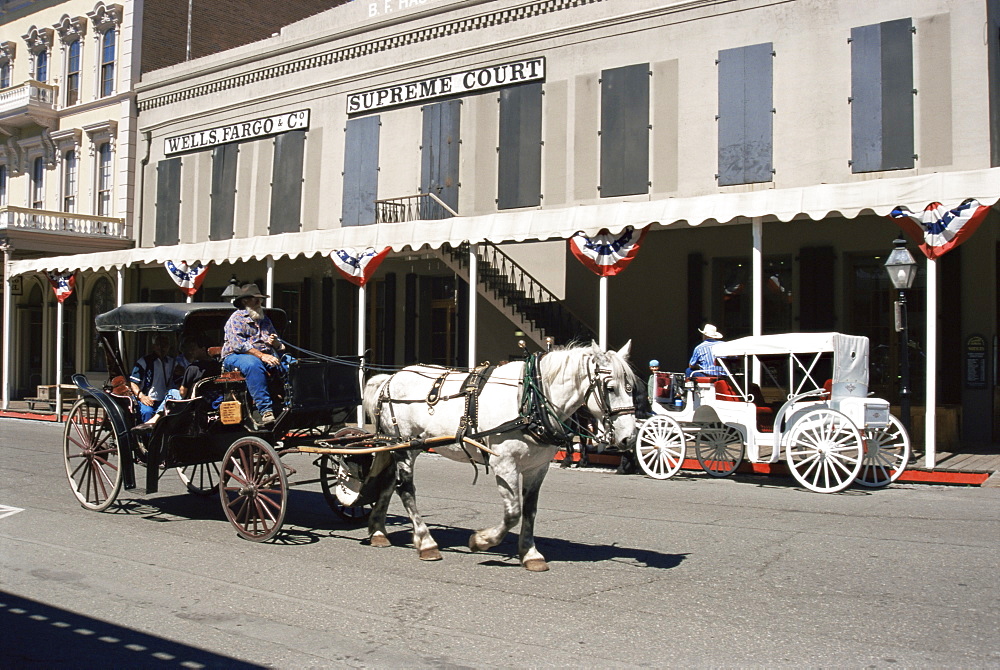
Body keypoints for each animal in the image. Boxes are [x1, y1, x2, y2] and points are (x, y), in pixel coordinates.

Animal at [364, 346, 636, 572]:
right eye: (610, 388)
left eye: (632, 388)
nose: (629, 438)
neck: (528, 401)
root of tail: (389, 379)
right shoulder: (504, 463)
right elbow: (513, 512)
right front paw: (482, 540)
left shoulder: (537, 468)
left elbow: (530, 511)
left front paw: (530, 553)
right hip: (404, 446)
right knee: (405, 489)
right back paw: (425, 541)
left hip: (405, 446)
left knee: (389, 483)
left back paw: (378, 531)